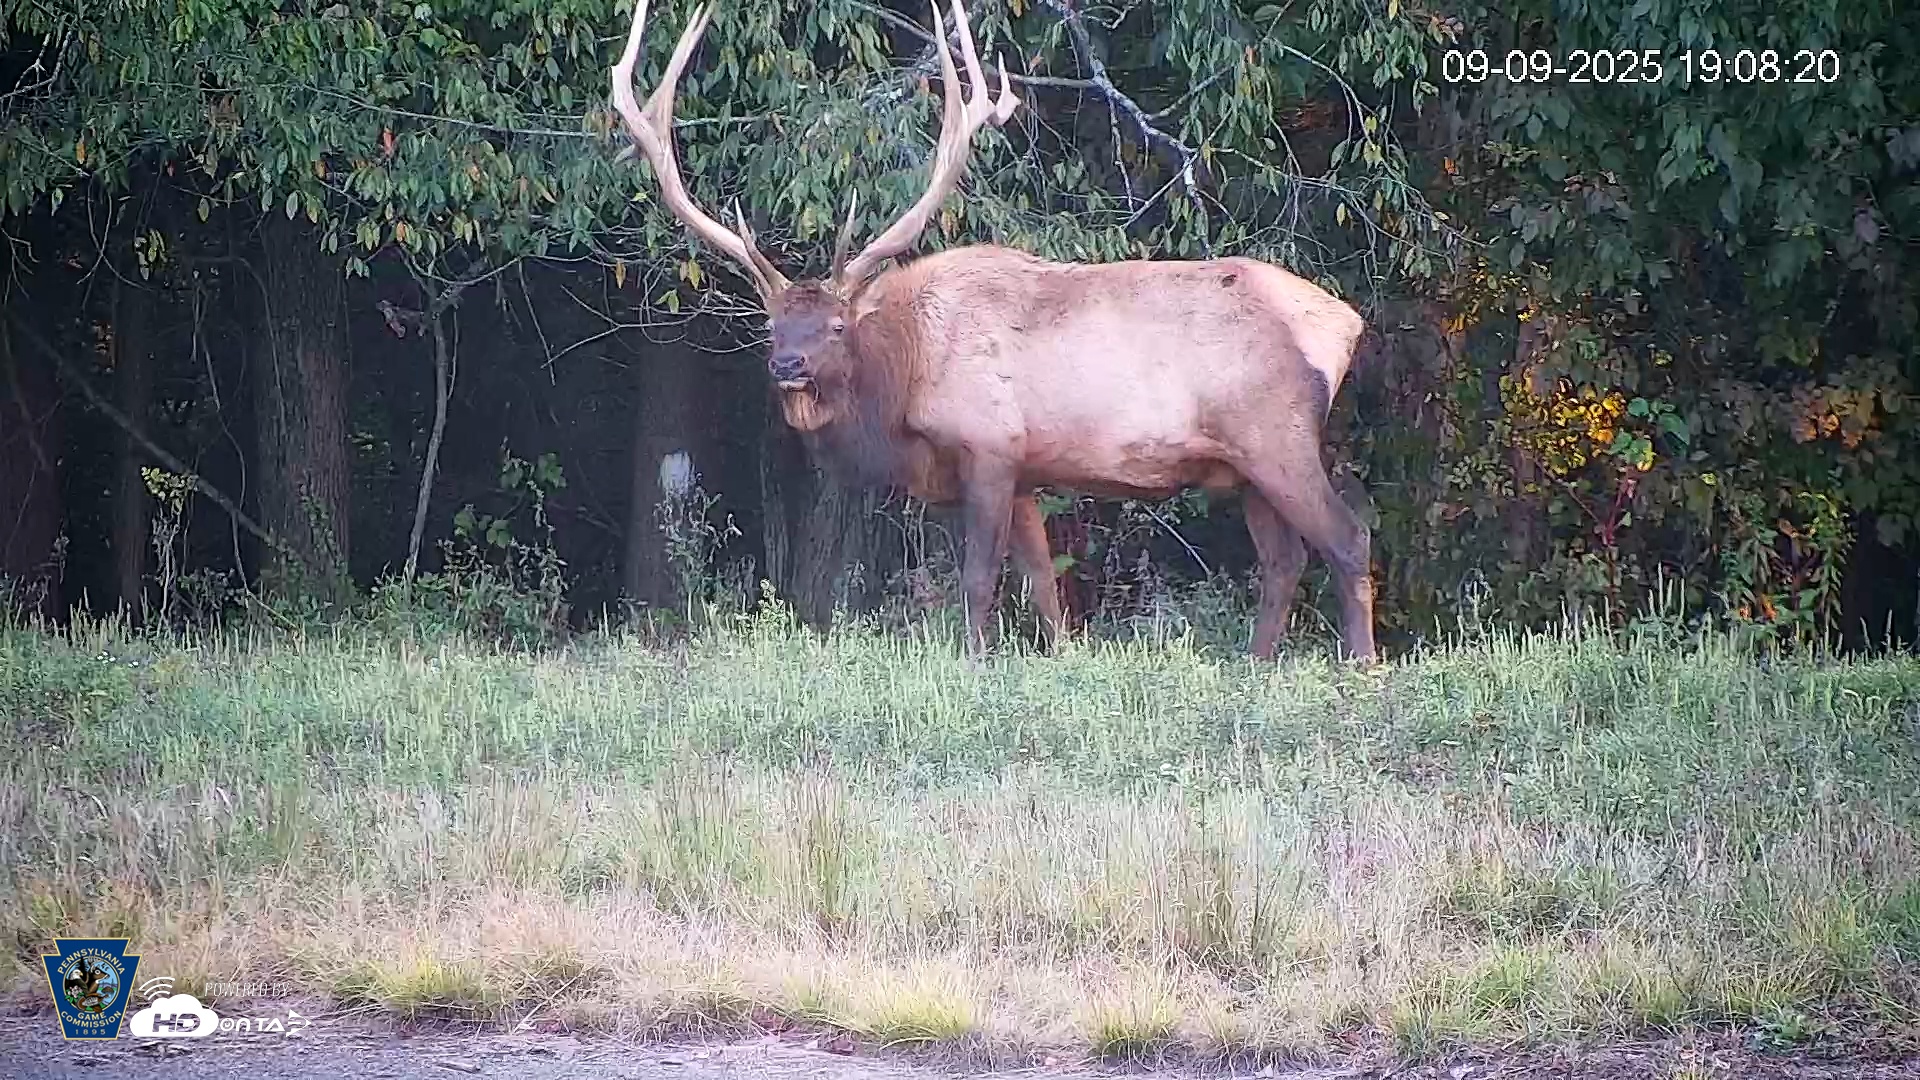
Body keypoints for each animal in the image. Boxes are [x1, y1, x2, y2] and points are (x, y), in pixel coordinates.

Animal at [610, 0, 1378, 664]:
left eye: (834, 326)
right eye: (774, 325)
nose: (788, 367)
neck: (904, 388)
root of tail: (1344, 325)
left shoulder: (989, 445)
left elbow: (980, 578)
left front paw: (975, 659)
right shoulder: (1026, 472)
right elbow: (1043, 582)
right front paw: (1062, 655)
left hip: (1276, 434)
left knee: (1348, 536)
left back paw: (1360, 664)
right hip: (1244, 465)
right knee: (1283, 559)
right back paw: (1258, 662)